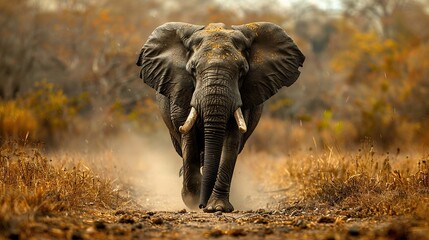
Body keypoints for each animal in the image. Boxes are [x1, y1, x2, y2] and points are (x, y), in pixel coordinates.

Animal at [135, 21, 302, 212]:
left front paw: (217, 207)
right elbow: (189, 139)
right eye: (193, 70)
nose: (202, 205)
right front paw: (193, 200)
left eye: (242, 71)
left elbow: (231, 142)